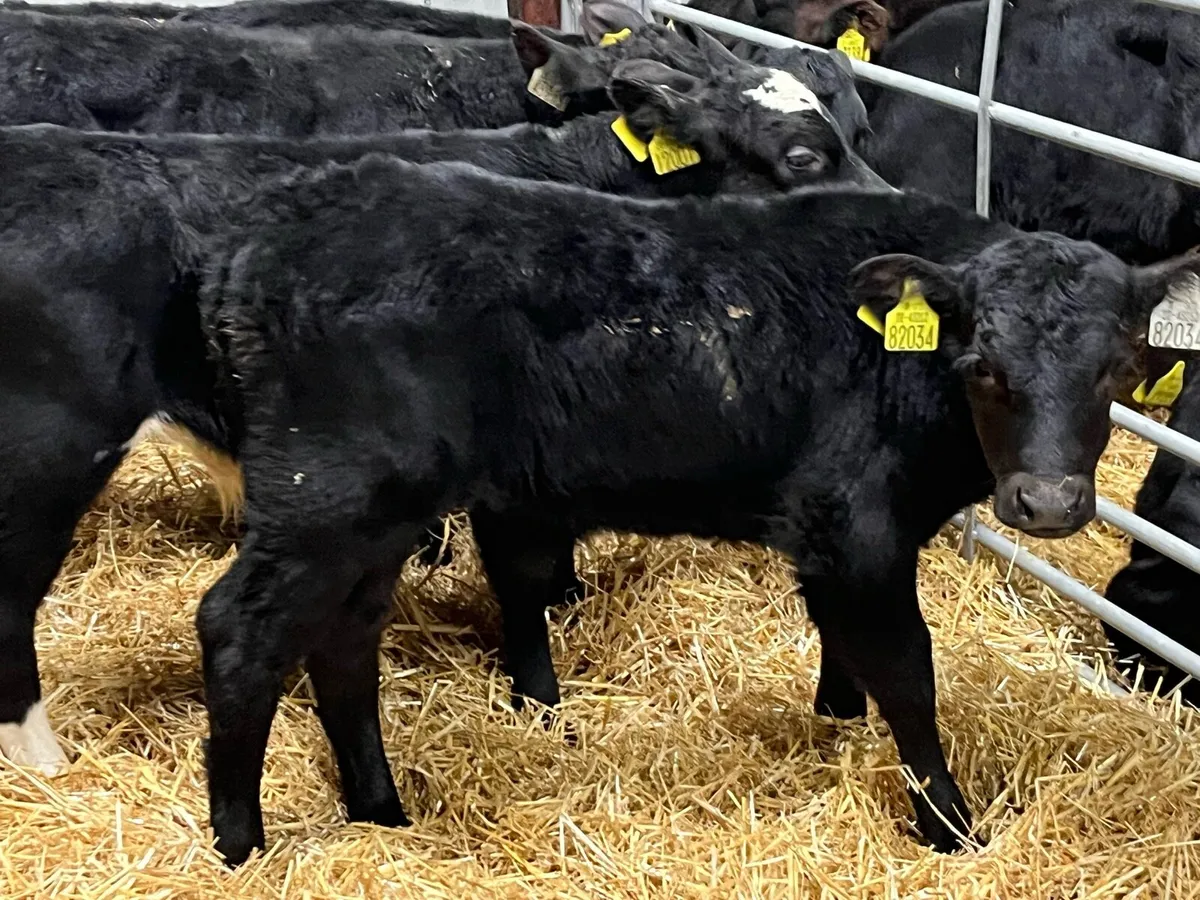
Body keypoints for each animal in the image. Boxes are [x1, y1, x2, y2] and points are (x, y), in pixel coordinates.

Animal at [105, 150, 1187, 864]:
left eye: (1118, 368)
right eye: (983, 366)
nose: (1046, 501)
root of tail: (257, 239)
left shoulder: (840, 537)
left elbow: (846, 649)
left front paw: (835, 721)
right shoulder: (855, 522)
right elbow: (910, 678)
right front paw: (953, 829)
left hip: (375, 514)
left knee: (343, 639)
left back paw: (380, 810)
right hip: (324, 498)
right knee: (241, 627)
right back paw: (240, 846)